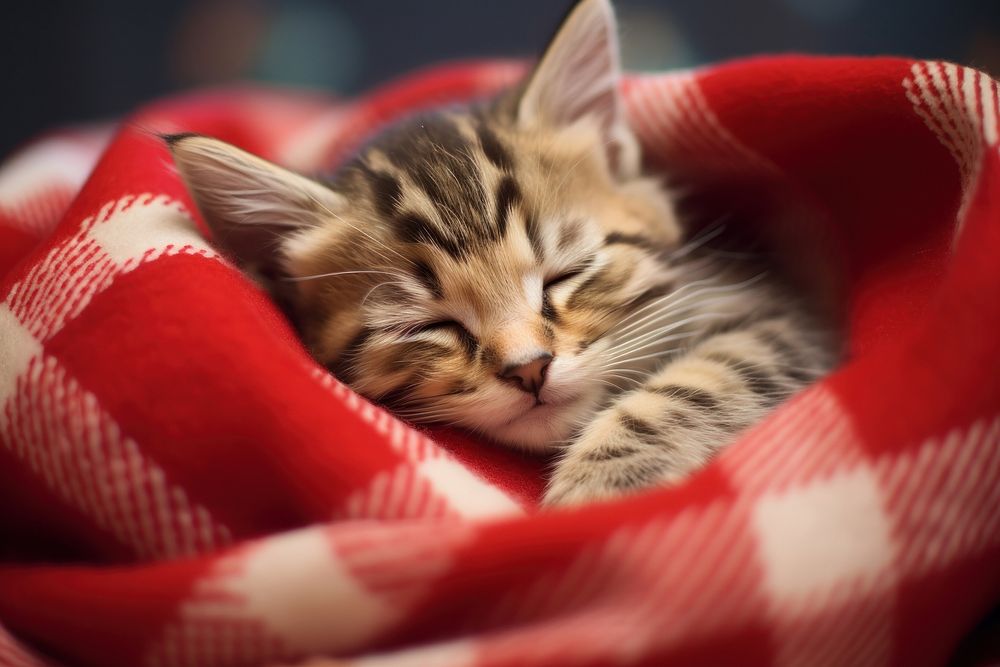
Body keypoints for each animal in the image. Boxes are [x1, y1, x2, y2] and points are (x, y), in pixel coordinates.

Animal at [166, 0, 836, 506]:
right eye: (427, 325)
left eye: (565, 275)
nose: (529, 369)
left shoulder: (782, 317)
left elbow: (700, 381)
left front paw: (601, 488)